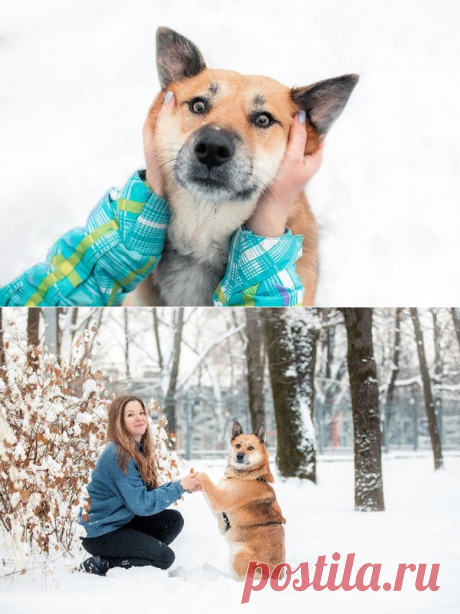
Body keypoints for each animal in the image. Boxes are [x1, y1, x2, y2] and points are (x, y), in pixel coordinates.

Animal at [197, 422, 286, 584]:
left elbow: (203, 475)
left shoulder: (218, 499)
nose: (239, 455)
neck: (250, 476)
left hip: (238, 554)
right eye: (238, 445)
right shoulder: (218, 505)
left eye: (250, 448)